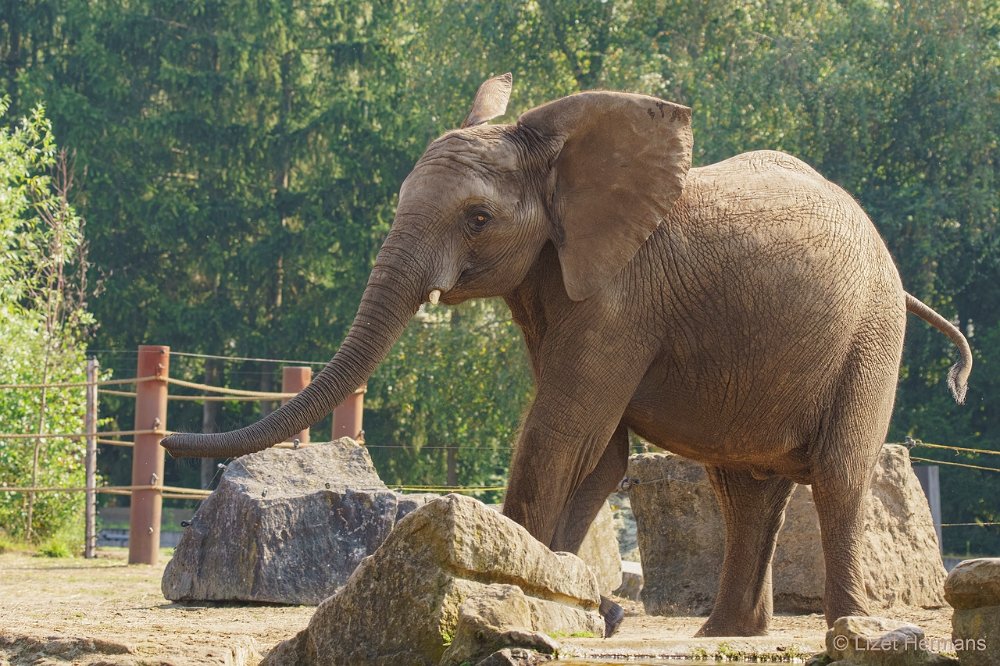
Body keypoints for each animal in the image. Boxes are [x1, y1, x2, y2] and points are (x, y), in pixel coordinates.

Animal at [162, 75, 968, 636]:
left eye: (478, 218)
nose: (167, 439)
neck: (557, 158)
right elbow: (597, 452)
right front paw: (570, 605)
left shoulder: (622, 298)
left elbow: (562, 434)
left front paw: (511, 597)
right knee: (743, 489)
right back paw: (726, 632)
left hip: (871, 338)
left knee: (836, 474)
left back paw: (848, 626)